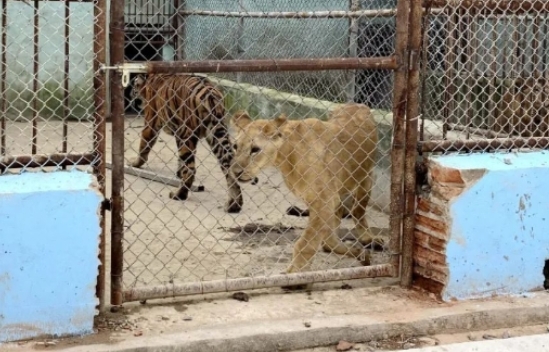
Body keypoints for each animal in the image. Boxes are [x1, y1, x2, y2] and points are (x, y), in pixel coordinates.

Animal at [130, 73, 243, 213]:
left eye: (134, 86)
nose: (130, 94)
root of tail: (210, 93)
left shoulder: (151, 123)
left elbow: (143, 145)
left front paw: (135, 163)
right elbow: (180, 160)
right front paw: (179, 173)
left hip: (186, 133)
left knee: (191, 170)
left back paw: (178, 195)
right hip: (216, 134)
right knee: (229, 166)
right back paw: (234, 205)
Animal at [229, 103, 378, 274]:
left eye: (255, 149)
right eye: (235, 146)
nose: (235, 172)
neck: (285, 159)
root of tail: (358, 104)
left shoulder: (324, 201)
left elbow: (305, 243)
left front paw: (293, 273)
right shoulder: (319, 200)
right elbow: (322, 237)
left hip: (366, 177)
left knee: (358, 210)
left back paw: (368, 239)